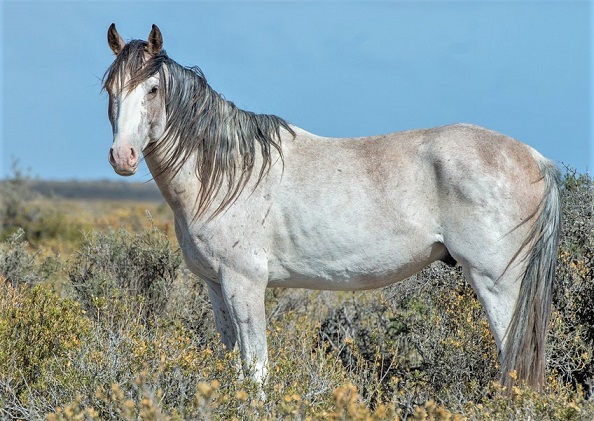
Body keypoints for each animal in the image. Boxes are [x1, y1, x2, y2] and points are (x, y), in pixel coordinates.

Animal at [103, 23, 560, 390]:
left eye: (153, 89)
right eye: (110, 89)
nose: (123, 156)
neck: (228, 175)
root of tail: (536, 158)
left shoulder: (244, 282)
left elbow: (256, 370)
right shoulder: (216, 285)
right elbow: (235, 365)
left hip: (497, 282)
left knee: (514, 361)